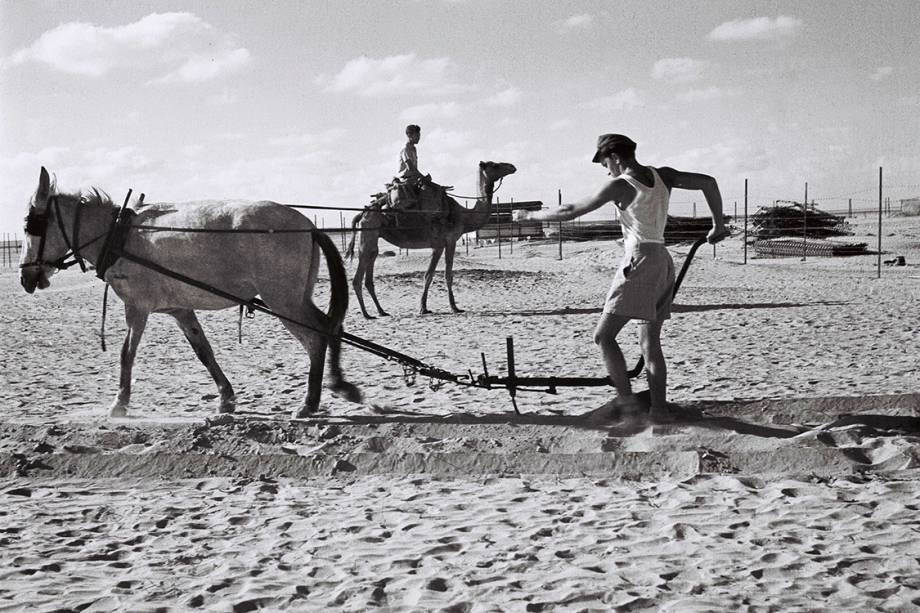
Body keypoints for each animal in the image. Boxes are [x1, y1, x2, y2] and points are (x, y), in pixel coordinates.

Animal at [19, 166, 362, 416]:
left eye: (29, 226)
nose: (25, 277)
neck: (119, 236)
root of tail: (310, 226)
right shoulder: (180, 310)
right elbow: (204, 352)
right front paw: (226, 398)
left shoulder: (137, 307)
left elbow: (126, 354)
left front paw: (120, 403)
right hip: (295, 297)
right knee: (331, 326)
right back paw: (338, 385)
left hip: (283, 300)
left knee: (317, 336)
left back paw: (310, 402)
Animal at [346, 160, 516, 318]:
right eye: (494, 165)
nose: (512, 167)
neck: (464, 216)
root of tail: (362, 213)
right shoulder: (450, 241)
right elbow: (447, 275)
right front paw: (454, 307)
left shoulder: (438, 245)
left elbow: (429, 275)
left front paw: (424, 308)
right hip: (369, 232)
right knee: (359, 272)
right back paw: (366, 314)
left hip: (373, 236)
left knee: (371, 263)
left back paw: (381, 311)